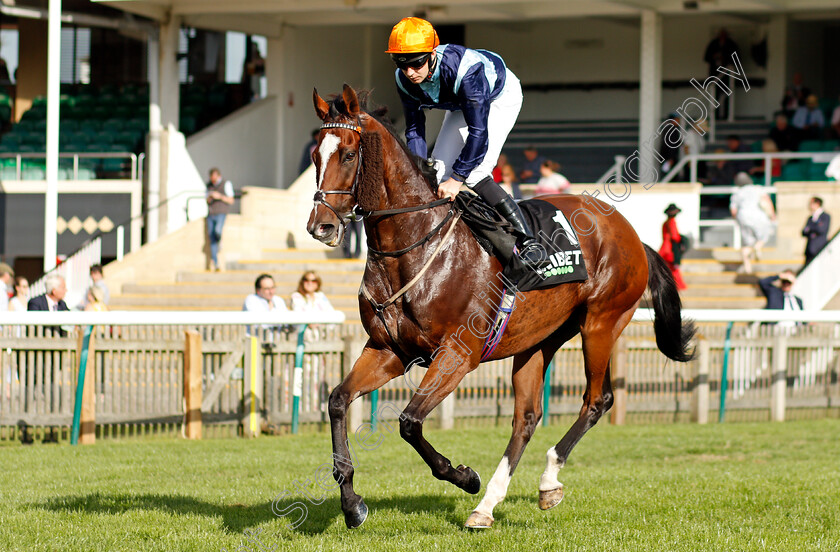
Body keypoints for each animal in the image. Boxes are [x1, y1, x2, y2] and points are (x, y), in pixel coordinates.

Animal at [306, 84, 692, 528]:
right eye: (315, 155)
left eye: (348, 154)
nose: (320, 226)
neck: (414, 246)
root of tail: (632, 234)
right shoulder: (389, 351)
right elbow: (337, 401)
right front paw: (352, 503)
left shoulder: (457, 354)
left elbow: (409, 423)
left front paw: (464, 476)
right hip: (538, 340)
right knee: (526, 418)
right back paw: (489, 505)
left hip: (601, 323)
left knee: (597, 401)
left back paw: (545, 479)